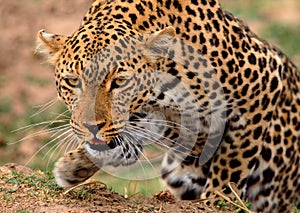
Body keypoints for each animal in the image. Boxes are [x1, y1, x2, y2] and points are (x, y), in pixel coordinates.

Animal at [36, 0, 298, 211]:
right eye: (73, 81)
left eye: (119, 81)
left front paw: (217, 202)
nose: (91, 127)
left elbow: (232, 165)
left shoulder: (261, 86)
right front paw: (73, 166)